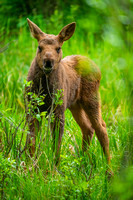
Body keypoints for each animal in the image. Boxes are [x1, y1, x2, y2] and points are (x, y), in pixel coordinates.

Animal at [25, 18, 110, 166]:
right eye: (39, 47)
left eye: (58, 48)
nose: (48, 62)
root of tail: (98, 69)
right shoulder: (32, 108)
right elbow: (32, 141)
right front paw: (29, 165)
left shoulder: (58, 111)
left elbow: (56, 143)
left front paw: (55, 167)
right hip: (75, 104)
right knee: (88, 128)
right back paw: (82, 162)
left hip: (91, 98)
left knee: (101, 128)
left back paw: (108, 168)